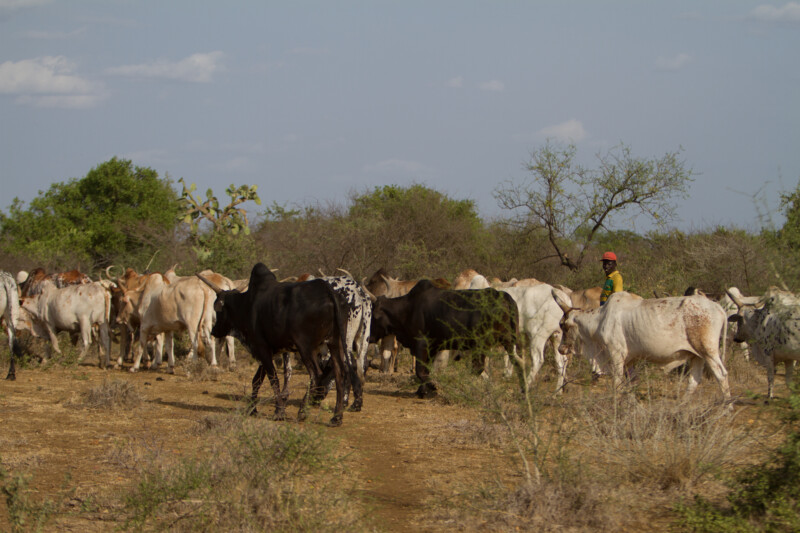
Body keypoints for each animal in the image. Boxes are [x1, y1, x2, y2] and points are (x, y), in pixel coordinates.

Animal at [196, 263, 351, 426]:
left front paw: (279, 412)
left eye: (218, 308)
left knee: (316, 374)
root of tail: (327, 291)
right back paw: (336, 417)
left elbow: (273, 379)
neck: (246, 304)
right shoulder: (268, 351)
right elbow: (257, 380)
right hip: (335, 343)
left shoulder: (261, 348)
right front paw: (252, 409)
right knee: (339, 373)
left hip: (305, 348)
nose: (214, 330)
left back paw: (303, 411)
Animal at [369, 280, 520, 398]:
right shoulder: (432, 348)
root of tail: (503, 296)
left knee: (478, 369)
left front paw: (432, 387)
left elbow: (420, 371)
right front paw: (422, 391)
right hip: (509, 343)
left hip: (481, 345)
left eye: (372, 315)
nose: (369, 337)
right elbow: (425, 371)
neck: (408, 308)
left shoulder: (422, 344)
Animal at [552, 290, 731, 403]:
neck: (600, 319)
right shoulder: (629, 360)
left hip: (708, 351)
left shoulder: (616, 355)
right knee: (694, 380)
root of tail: (718, 307)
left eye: (563, 325)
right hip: (697, 355)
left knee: (721, 374)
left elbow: (617, 383)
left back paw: (727, 407)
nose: (561, 349)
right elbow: (630, 382)